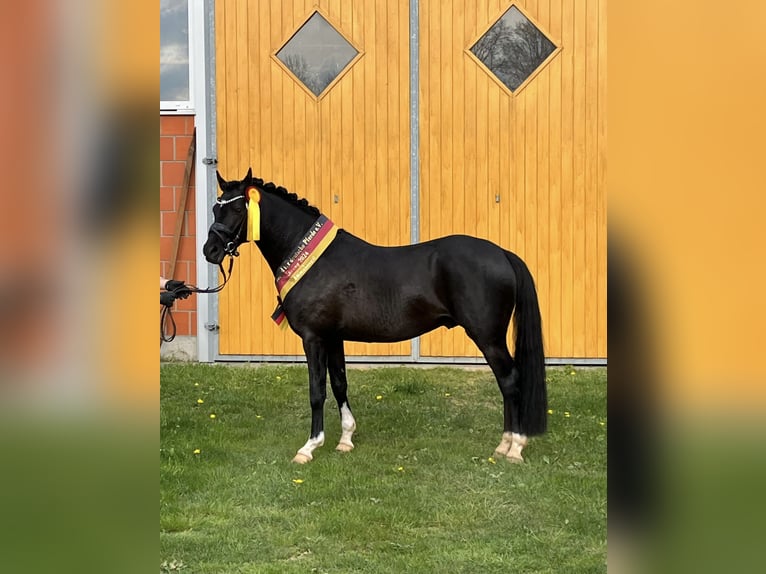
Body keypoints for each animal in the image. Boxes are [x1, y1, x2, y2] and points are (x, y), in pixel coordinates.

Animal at [204, 170, 544, 464]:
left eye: (237, 210)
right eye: (215, 209)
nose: (210, 250)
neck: (314, 262)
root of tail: (502, 254)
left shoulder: (314, 338)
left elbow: (317, 391)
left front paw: (309, 447)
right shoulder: (333, 337)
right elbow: (339, 383)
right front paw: (345, 439)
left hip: (488, 337)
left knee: (510, 380)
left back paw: (514, 447)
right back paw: (504, 445)